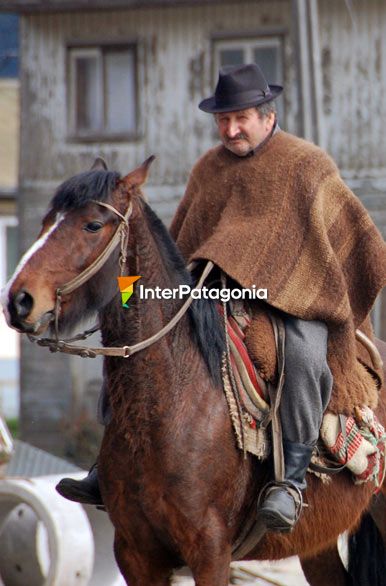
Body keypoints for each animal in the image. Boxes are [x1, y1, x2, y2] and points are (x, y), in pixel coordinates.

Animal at [3, 156, 386, 584]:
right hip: (317, 545)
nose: (19, 300)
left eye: (92, 225)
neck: (171, 402)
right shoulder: (135, 554)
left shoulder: (211, 551)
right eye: (47, 220)